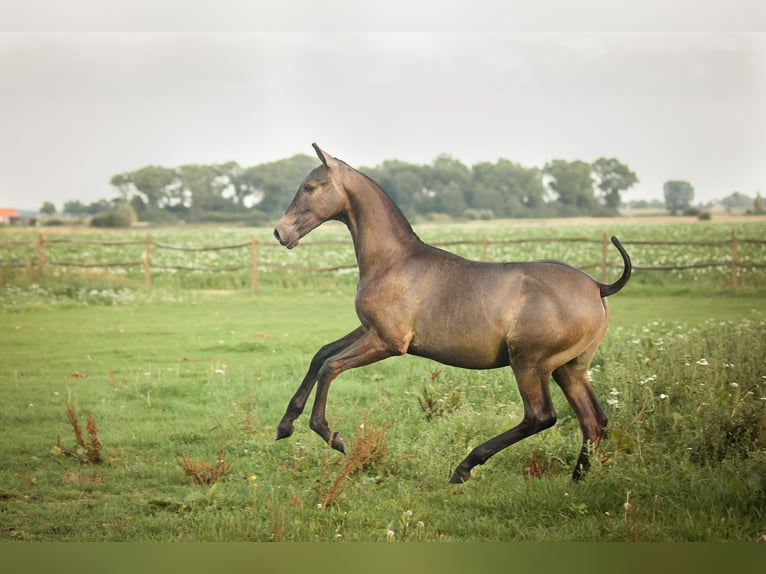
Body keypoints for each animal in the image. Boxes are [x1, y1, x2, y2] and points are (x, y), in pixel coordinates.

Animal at [273, 144, 631, 483]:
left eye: (310, 187)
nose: (280, 232)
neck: (393, 261)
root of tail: (598, 287)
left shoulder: (389, 342)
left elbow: (330, 367)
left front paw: (331, 435)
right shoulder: (368, 330)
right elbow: (321, 355)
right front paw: (285, 425)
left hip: (530, 364)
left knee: (540, 416)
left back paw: (464, 467)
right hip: (569, 369)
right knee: (593, 420)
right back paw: (576, 479)